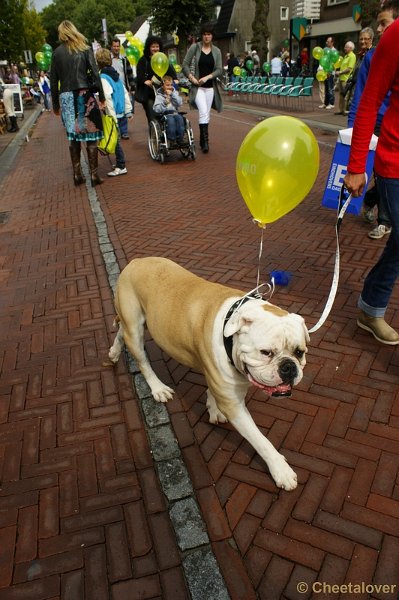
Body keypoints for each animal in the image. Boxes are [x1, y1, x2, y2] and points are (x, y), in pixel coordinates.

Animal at [108, 256, 310, 488]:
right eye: (266, 352)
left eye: (299, 352)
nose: (288, 366)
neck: (230, 331)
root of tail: (137, 261)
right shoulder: (234, 405)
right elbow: (260, 440)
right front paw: (281, 470)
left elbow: (212, 390)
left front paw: (213, 408)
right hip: (135, 328)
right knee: (141, 359)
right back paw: (158, 388)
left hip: (130, 324)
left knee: (121, 332)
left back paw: (114, 352)